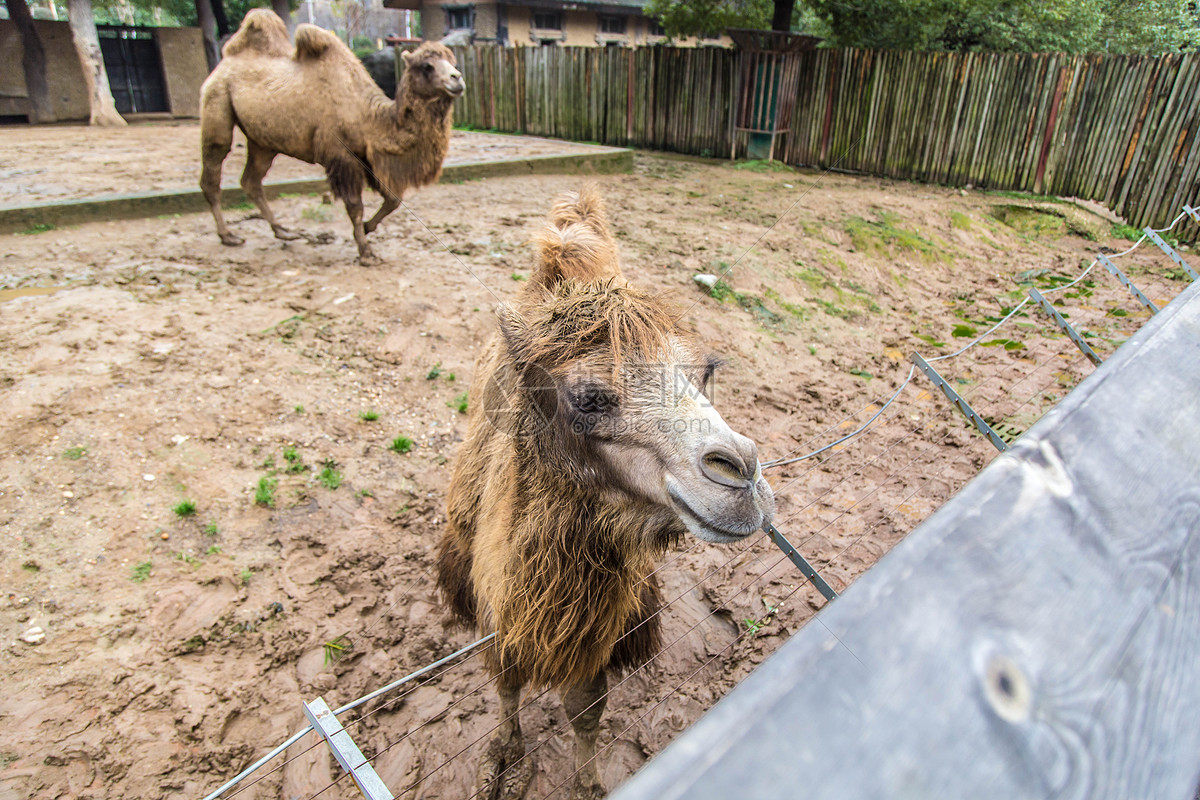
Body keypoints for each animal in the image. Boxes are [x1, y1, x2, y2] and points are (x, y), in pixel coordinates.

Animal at [196, 9, 463, 263]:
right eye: (427, 66)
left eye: (452, 60)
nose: (457, 78)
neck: (369, 117)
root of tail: (224, 62)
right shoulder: (341, 155)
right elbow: (355, 205)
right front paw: (366, 252)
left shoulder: (367, 157)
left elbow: (393, 199)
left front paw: (366, 228)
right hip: (217, 99)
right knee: (214, 165)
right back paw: (228, 235)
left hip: (262, 141)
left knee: (251, 180)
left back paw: (283, 231)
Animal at [441, 185, 777, 800]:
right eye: (589, 397)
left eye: (706, 371)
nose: (741, 475)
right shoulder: (495, 601)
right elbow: (505, 682)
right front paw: (505, 757)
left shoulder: (603, 628)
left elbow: (586, 707)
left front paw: (587, 781)